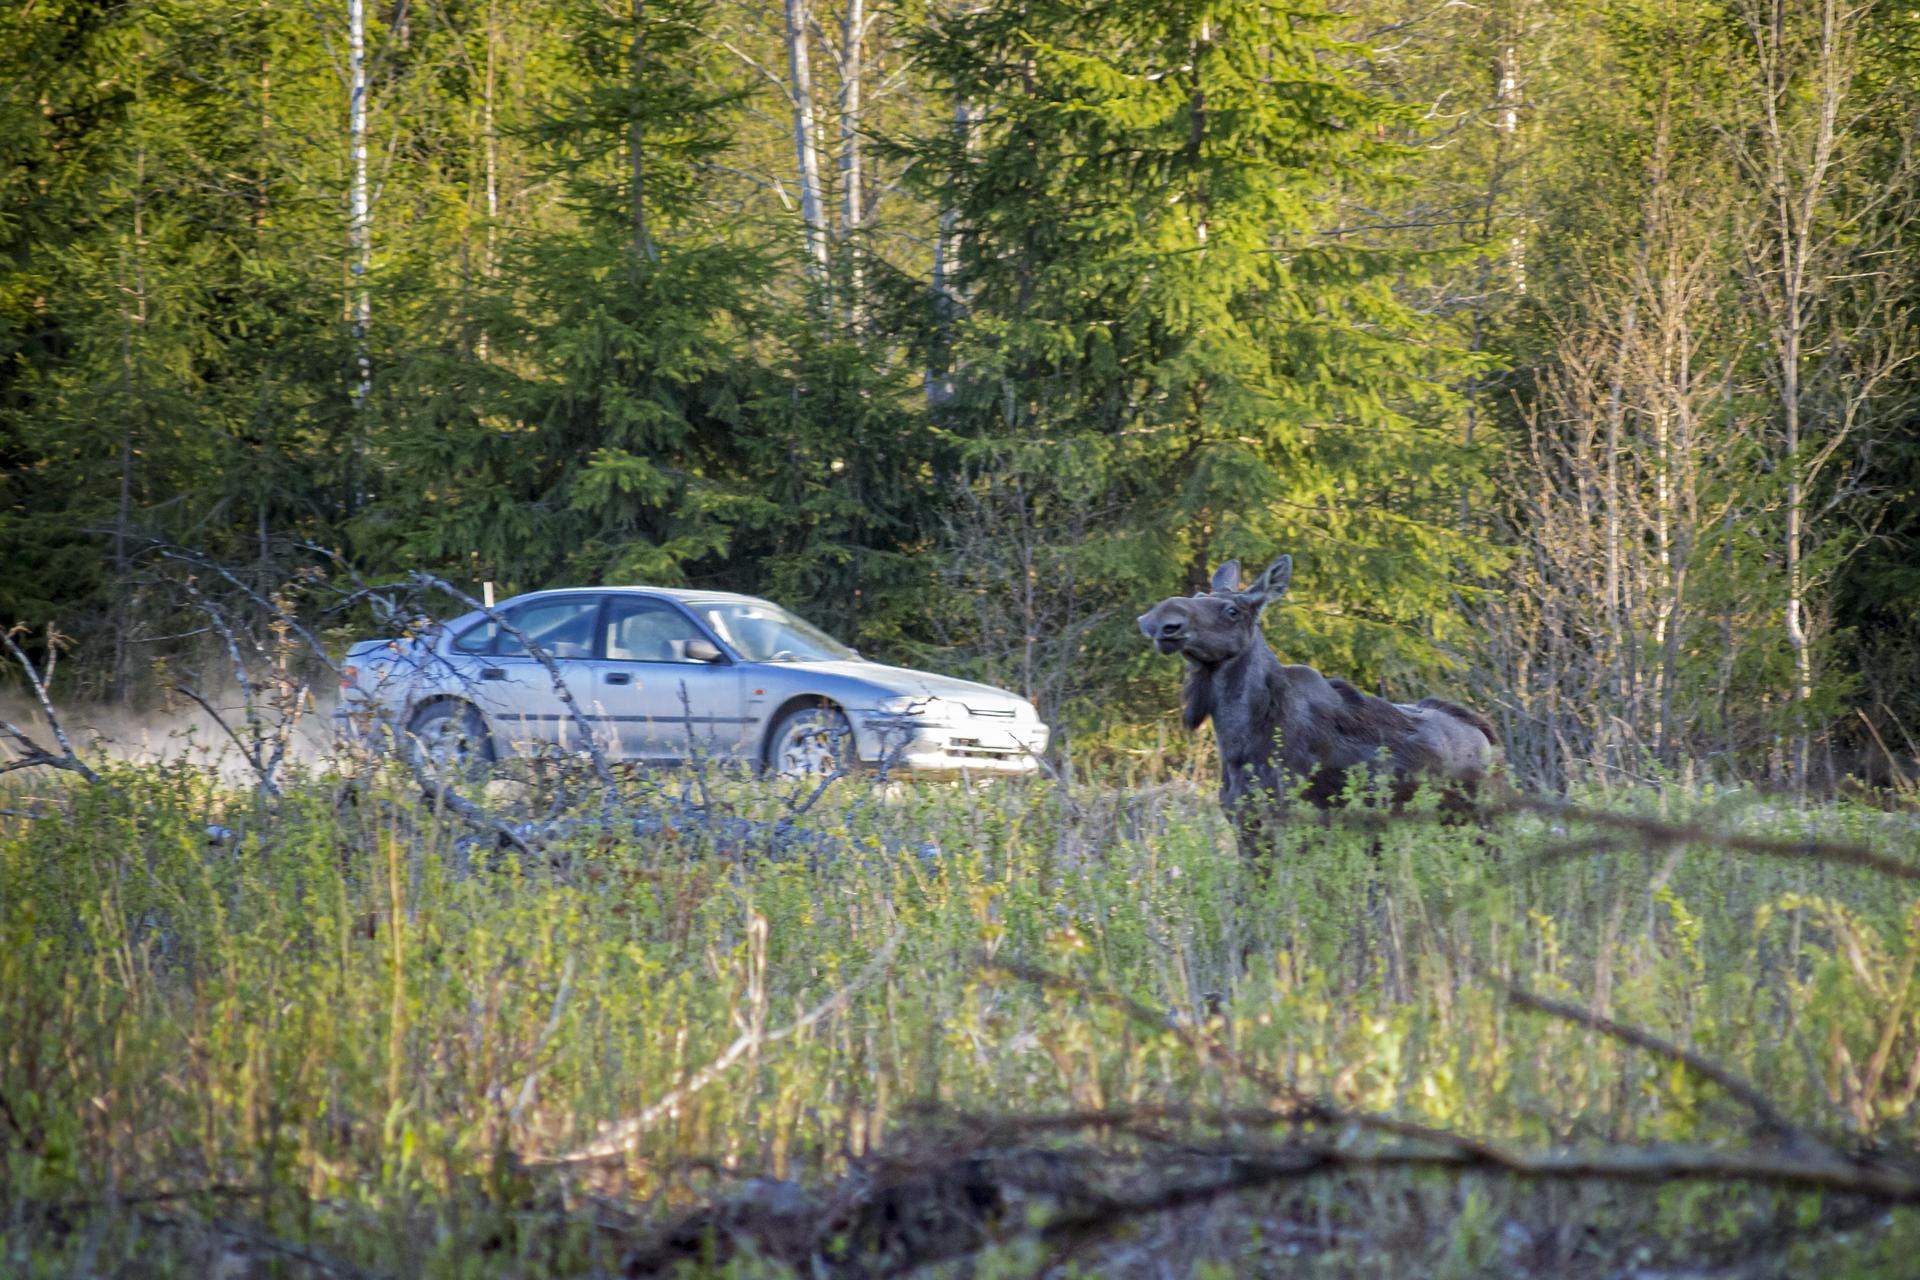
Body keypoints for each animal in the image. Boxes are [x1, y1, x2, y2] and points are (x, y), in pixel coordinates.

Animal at [1136, 556, 1497, 844]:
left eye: (1232, 610)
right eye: (1198, 596)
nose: (1160, 620)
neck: (1238, 742)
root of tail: (1485, 735)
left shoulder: (1300, 824)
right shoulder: (1245, 825)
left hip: (1476, 822)